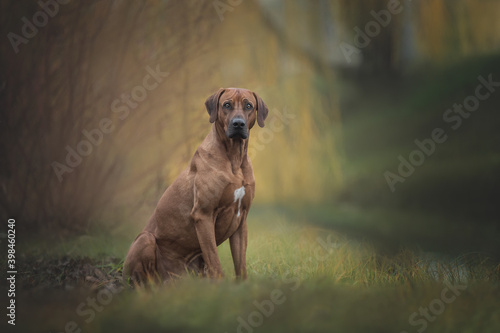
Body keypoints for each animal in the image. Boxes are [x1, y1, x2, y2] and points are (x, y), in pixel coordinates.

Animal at [122, 86, 268, 282]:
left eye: (248, 106)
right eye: (227, 105)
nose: (238, 124)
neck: (234, 159)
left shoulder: (241, 220)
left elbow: (240, 264)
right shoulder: (203, 215)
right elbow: (215, 261)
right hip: (145, 239)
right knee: (141, 278)